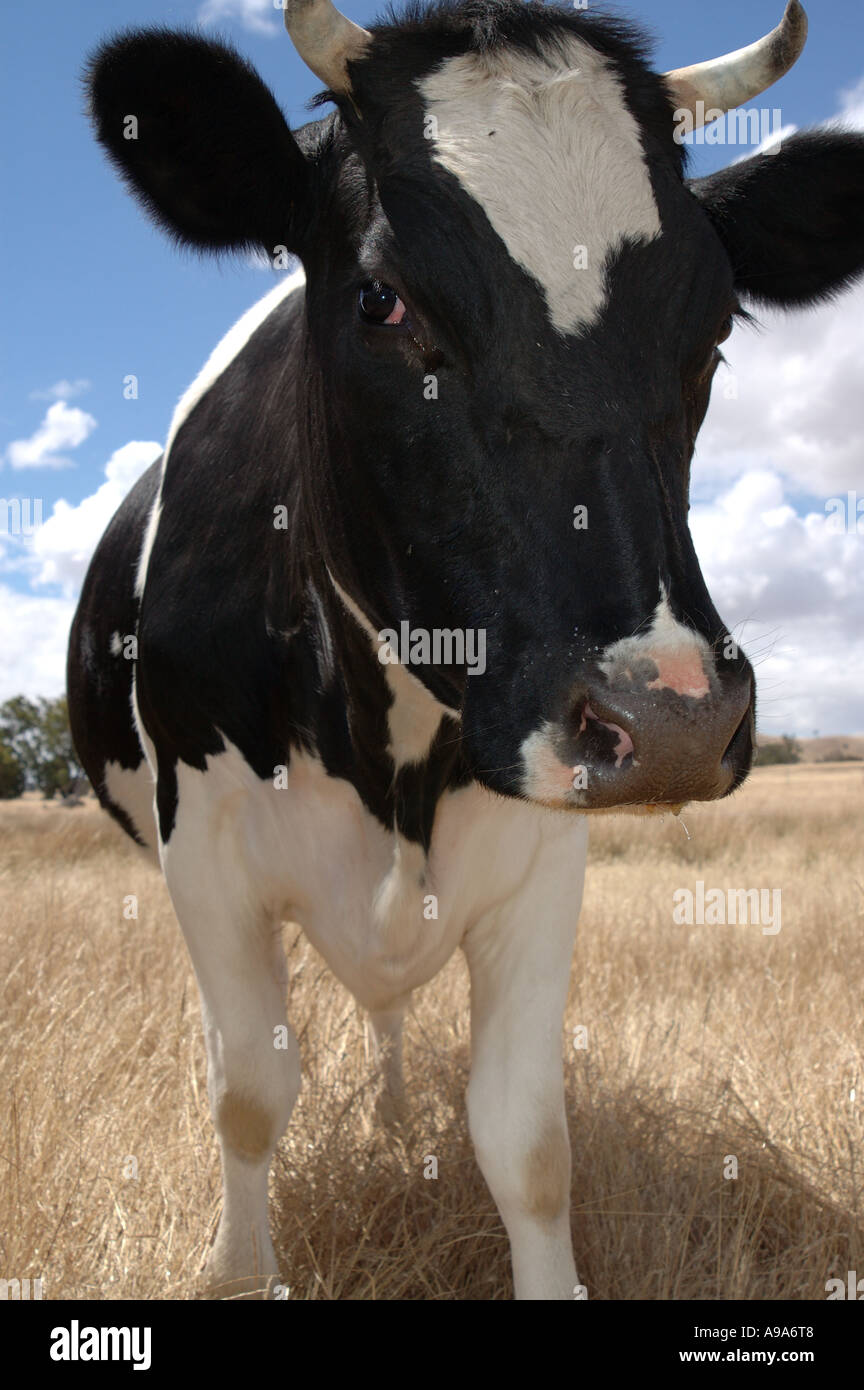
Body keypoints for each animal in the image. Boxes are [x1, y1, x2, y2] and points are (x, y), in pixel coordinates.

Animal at [69, 2, 864, 1301]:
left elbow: (526, 1141)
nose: (674, 719)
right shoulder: (207, 855)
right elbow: (250, 1094)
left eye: (712, 328)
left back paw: (396, 1123)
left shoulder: (543, 856)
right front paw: (236, 1266)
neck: (381, 750)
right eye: (383, 301)